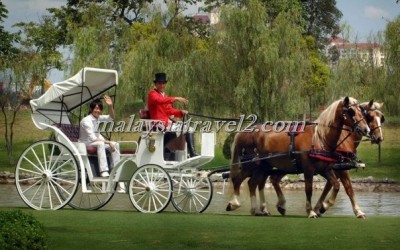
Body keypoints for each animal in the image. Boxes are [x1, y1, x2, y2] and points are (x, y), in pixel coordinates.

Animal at [227, 96, 370, 218]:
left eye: (362, 112)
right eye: (351, 111)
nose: (366, 130)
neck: (319, 139)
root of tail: (245, 132)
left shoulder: (326, 169)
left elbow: (337, 185)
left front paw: (323, 206)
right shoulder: (309, 169)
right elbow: (309, 190)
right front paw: (311, 211)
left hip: (262, 167)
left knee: (253, 183)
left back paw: (257, 209)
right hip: (251, 165)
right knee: (239, 180)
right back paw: (234, 203)